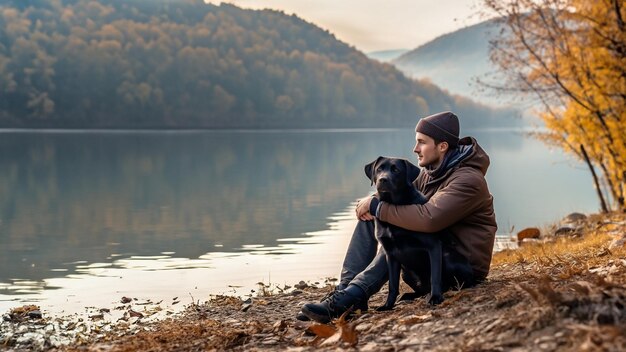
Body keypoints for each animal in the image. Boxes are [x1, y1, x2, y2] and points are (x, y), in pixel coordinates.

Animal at [364, 155, 450, 310]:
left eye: (396, 170)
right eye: (379, 169)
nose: (383, 179)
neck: (393, 205)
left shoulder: (433, 245)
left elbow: (435, 276)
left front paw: (435, 297)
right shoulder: (390, 254)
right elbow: (392, 285)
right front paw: (387, 305)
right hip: (406, 272)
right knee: (421, 289)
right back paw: (407, 296)